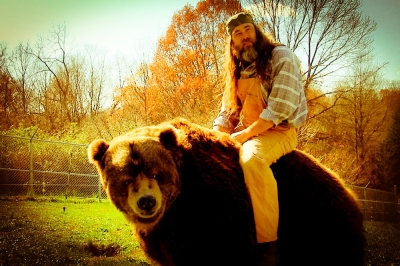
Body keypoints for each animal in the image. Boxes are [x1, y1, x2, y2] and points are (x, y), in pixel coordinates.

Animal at [88, 118, 366, 266]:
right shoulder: (165, 237)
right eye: (126, 179)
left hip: (318, 226)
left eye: (157, 173)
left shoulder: (220, 216)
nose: (147, 202)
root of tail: (350, 194)